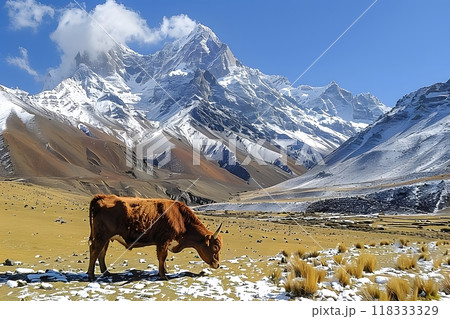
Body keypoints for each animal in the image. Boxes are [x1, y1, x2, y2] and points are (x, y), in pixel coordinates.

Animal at [87, 194, 222, 282]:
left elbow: (163, 257)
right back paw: (91, 275)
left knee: (101, 253)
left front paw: (165, 270)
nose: (217, 265)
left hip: (106, 238)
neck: (181, 218)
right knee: (94, 252)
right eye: (215, 247)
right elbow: (162, 256)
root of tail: (103, 196)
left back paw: (106, 273)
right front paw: (163, 275)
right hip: (101, 236)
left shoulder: (164, 243)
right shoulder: (163, 240)